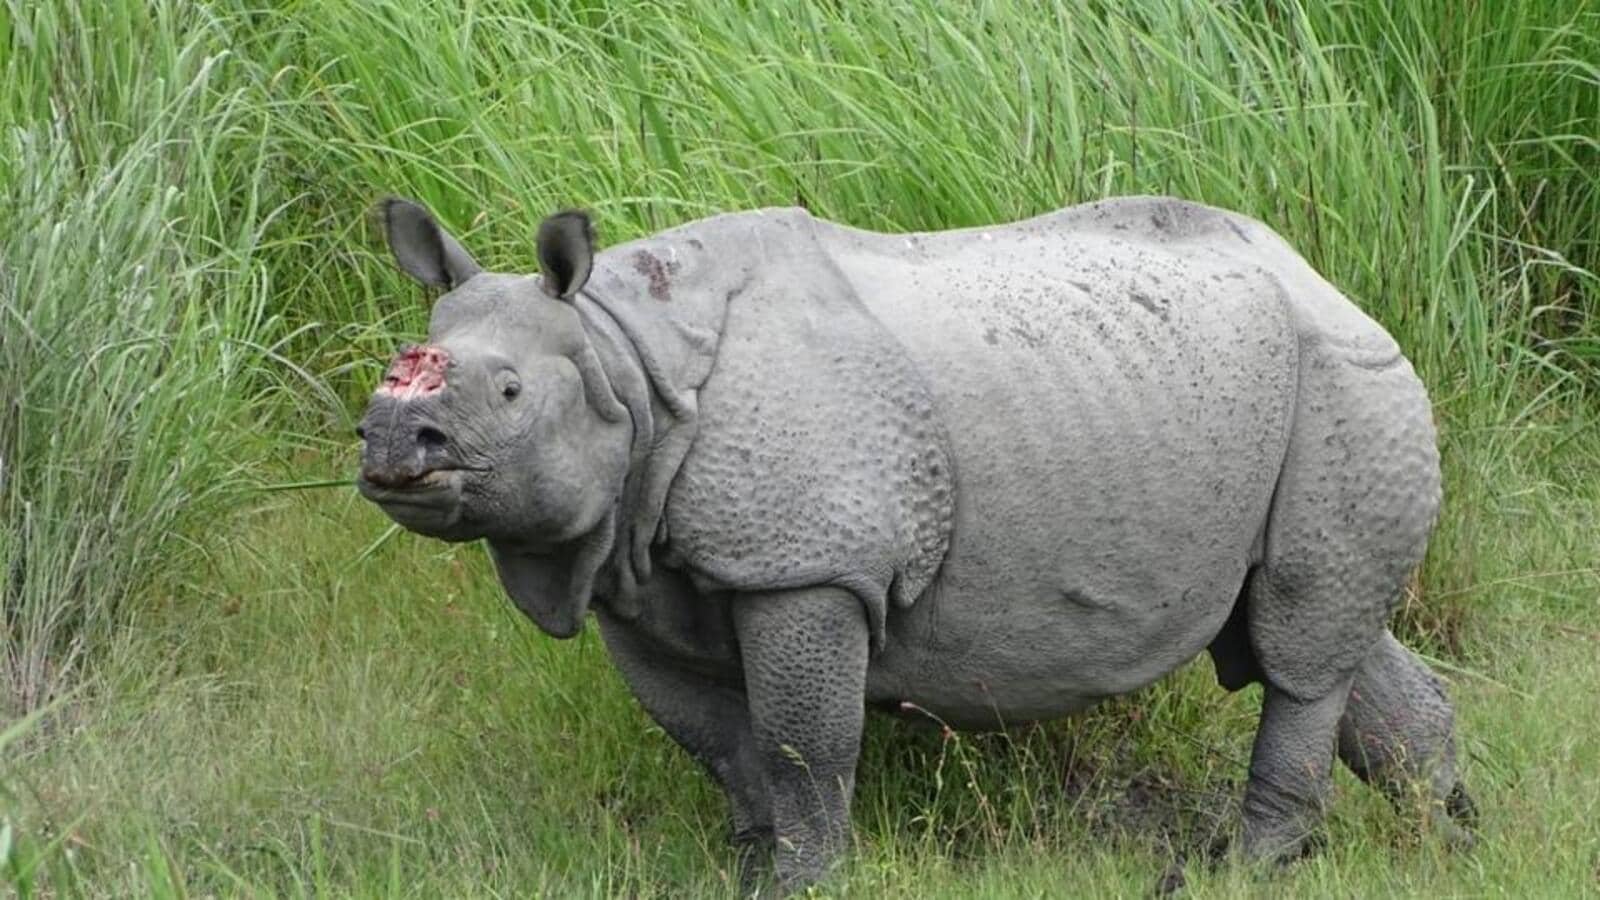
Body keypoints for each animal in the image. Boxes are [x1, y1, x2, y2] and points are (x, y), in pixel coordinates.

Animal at [355, 195, 1475, 891]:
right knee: (1320, 639)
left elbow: (803, 744)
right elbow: (718, 743)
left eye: (507, 392)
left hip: (1347, 375)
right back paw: (1448, 838)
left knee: (1297, 642)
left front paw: (807, 881)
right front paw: (751, 872)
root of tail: (1318, 275)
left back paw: (1247, 872)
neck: (619, 359)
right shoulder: (630, 569)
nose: (391, 440)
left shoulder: (808, 567)